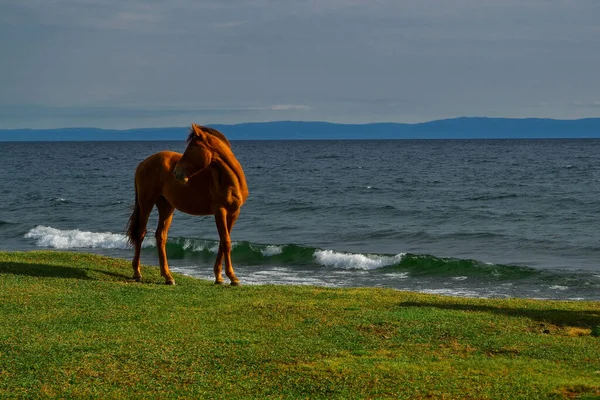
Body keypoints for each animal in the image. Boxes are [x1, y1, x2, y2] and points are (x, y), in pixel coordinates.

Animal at [126, 123, 248, 286]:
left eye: (190, 148)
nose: (176, 173)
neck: (229, 180)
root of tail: (143, 163)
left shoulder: (234, 212)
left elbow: (223, 243)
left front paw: (219, 277)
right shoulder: (220, 211)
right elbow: (226, 242)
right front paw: (232, 277)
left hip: (166, 207)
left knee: (161, 236)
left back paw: (168, 277)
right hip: (146, 202)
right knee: (141, 233)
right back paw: (137, 273)